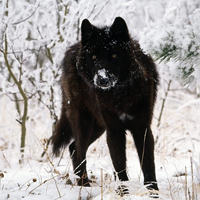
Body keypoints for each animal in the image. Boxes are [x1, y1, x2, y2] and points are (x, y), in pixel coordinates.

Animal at [52, 17, 159, 191]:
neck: (120, 95)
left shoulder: (142, 129)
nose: (102, 79)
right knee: (78, 150)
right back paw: (84, 185)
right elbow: (119, 166)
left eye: (114, 55)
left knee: (73, 147)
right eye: (94, 57)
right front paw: (123, 192)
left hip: (98, 127)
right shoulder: (114, 131)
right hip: (84, 124)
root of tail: (74, 48)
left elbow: (148, 165)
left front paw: (154, 192)